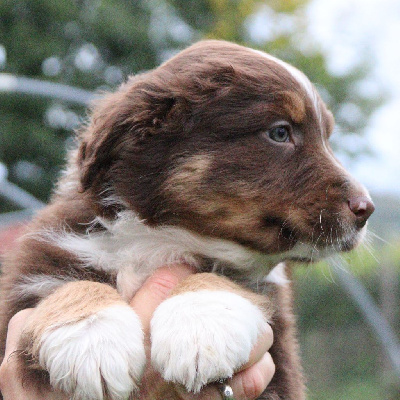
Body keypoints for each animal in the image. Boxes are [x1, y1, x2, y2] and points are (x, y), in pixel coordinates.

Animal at [0, 41, 376, 400]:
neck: (164, 240)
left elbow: (220, 277)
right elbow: (69, 284)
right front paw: (92, 342)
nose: (366, 209)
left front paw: (201, 329)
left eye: (326, 138)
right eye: (280, 133)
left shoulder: (278, 347)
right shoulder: (43, 264)